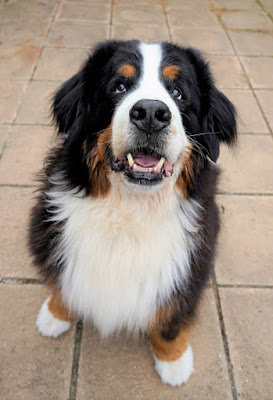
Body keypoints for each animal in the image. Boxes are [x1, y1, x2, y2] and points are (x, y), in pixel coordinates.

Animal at [28, 40, 236, 388]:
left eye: (178, 92)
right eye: (119, 86)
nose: (151, 113)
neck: (131, 209)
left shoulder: (191, 267)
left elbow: (171, 319)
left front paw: (174, 361)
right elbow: (63, 283)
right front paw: (55, 315)